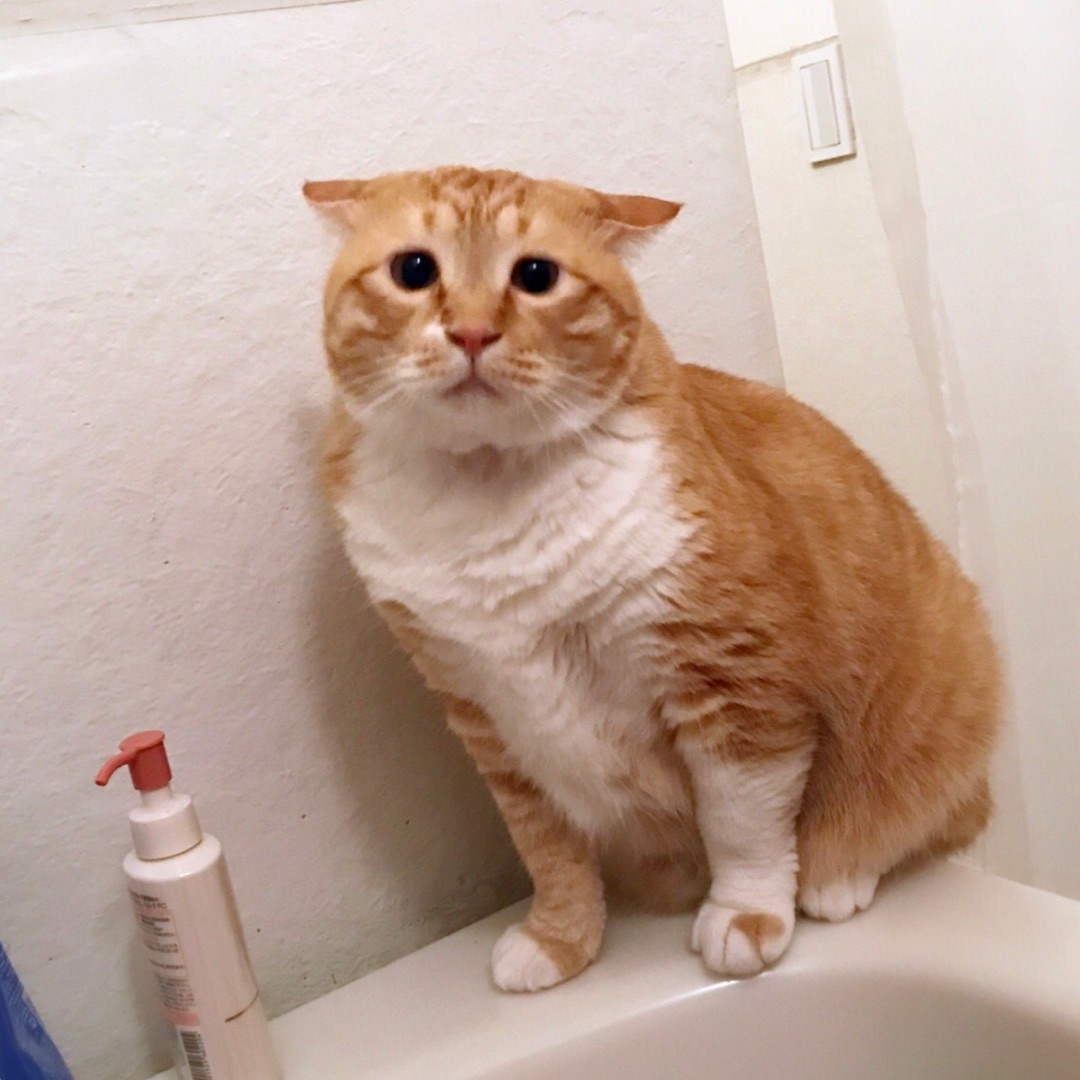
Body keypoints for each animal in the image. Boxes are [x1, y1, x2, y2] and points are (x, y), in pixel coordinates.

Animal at [304, 166, 1001, 991]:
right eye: (414, 270)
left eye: (535, 275)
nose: (471, 332)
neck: (486, 501)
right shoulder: (488, 718)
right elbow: (547, 849)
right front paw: (560, 941)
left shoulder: (734, 681)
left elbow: (743, 821)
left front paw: (747, 916)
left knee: (931, 819)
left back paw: (838, 879)